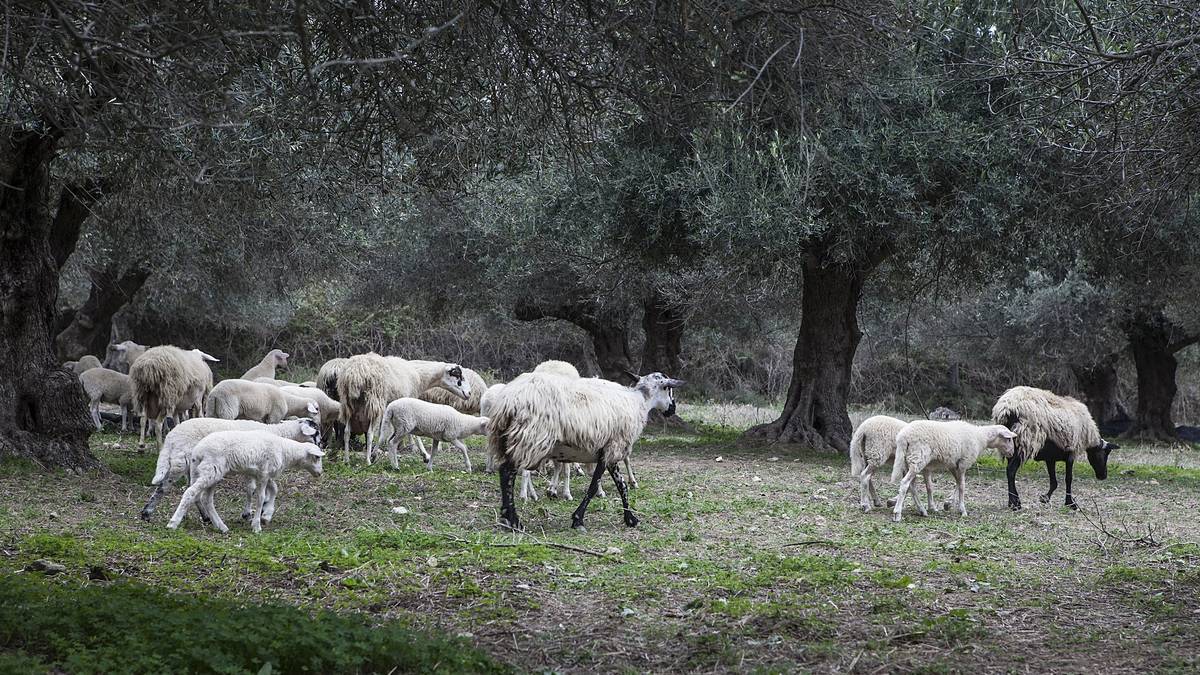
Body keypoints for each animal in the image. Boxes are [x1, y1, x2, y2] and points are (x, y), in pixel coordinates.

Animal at [140, 416, 322, 521]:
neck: (279, 433)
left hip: (192, 466)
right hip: (182, 462)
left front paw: (263, 509)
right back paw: (148, 512)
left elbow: (263, 488)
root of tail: (171, 437)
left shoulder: (254, 468)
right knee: (164, 487)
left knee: (190, 490)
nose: (323, 444)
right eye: (316, 432)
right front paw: (251, 513)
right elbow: (252, 489)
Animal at [166, 430, 324, 533]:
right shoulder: (264, 473)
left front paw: (267, 514)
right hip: (211, 470)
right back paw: (173, 523)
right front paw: (257, 525)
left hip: (205, 472)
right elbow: (260, 497)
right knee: (191, 492)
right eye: (317, 457)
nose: (320, 473)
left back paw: (221, 527)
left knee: (206, 499)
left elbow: (274, 489)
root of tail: (196, 452)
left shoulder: (262, 473)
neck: (285, 451)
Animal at [336, 353, 471, 465]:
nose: (469, 393)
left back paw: (347, 460)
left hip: (348, 404)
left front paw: (378, 451)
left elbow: (384, 432)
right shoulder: (409, 401)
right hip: (374, 402)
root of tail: (354, 373)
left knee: (347, 432)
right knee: (369, 433)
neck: (421, 376)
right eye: (458, 375)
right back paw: (368, 461)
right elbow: (413, 434)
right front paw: (424, 455)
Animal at [488, 370, 684, 531]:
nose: (673, 409)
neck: (640, 402)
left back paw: (507, 518)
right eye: (667, 388)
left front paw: (630, 518)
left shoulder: (609, 451)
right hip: (530, 439)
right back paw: (513, 520)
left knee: (505, 473)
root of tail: (508, 401)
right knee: (507, 472)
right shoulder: (612, 448)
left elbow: (621, 485)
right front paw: (578, 519)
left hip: (508, 440)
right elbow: (594, 485)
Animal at [991, 386, 1121, 511]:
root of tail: (1006, 407)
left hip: (1009, 444)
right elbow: (1068, 479)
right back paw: (1016, 504)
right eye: (1106, 453)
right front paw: (1070, 503)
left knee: (1009, 470)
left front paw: (1045, 498)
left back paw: (1012, 502)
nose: (1103, 476)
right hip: (1025, 440)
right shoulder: (1071, 452)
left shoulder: (1050, 458)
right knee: (1011, 470)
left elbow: (1054, 482)